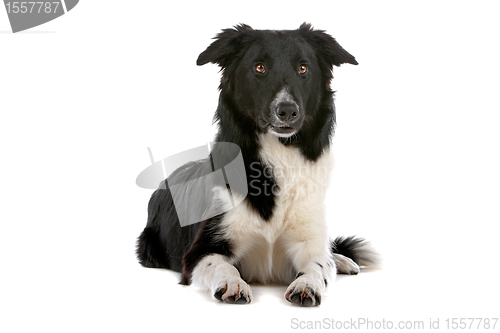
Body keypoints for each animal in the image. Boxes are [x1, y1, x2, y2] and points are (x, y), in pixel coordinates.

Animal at [136, 23, 376, 306]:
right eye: (259, 67)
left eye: (303, 68)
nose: (287, 110)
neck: (280, 153)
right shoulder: (199, 251)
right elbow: (221, 265)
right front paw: (233, 283)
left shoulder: (308, 240)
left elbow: (318, 264)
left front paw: (307, 283)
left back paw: (341, 259)